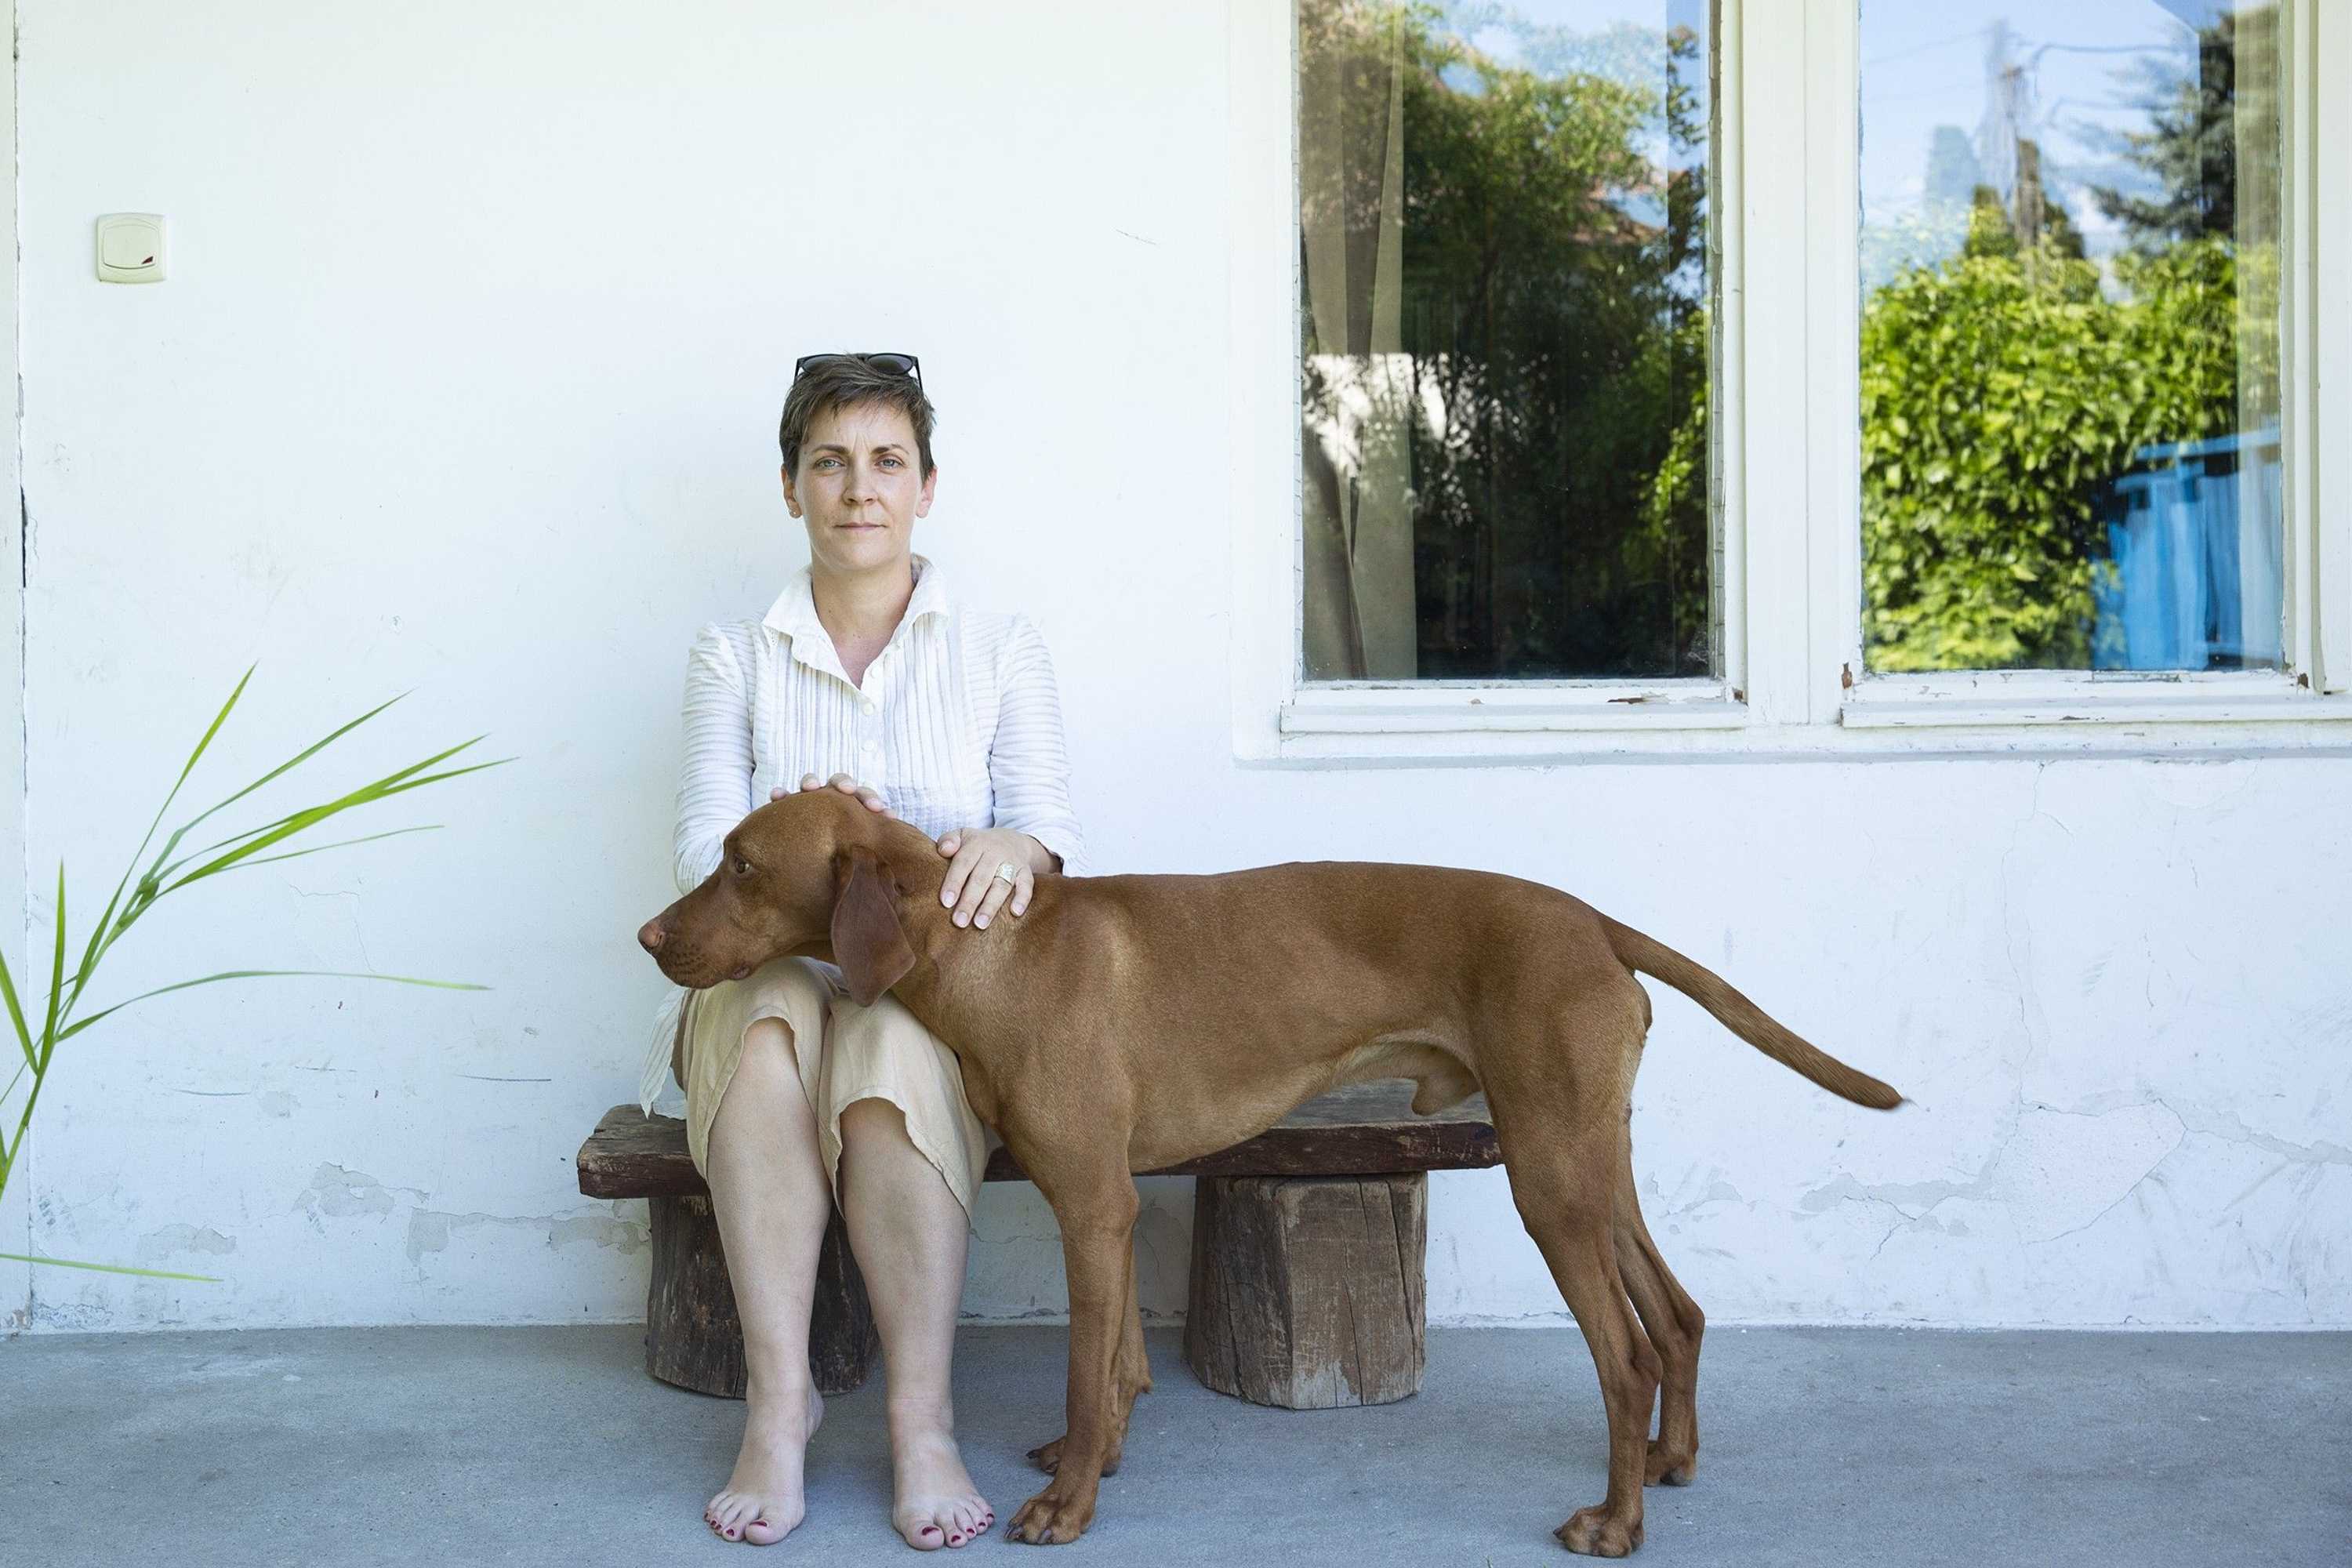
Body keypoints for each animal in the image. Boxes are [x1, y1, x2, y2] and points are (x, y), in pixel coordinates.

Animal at [635, 789, 1900, 1552]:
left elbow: (1087, 1375)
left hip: (1550, 1178)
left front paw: (1067, 1504)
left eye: (741, 864)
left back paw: (1614, 1519)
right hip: (1593, 1162)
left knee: (1626, 1352)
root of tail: (1595, 921)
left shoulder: (1091, 1203)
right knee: (1678, 1314)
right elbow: (1121, 1366)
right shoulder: (1105, 1203)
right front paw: (1100, 1458)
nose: (648, 936)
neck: (990, 949)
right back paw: (1672, 1462)